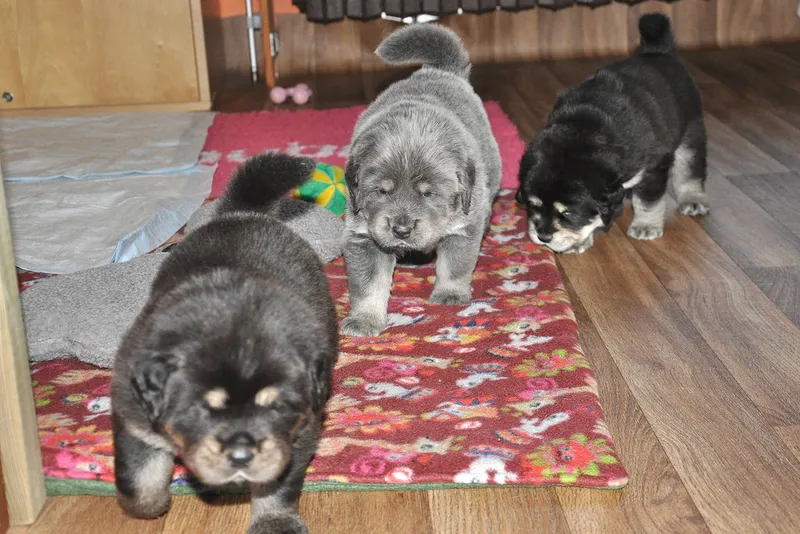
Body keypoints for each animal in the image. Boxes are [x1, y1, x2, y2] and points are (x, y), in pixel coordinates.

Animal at [111, 153, 338, 534]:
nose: (241, 456)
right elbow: (138, 479)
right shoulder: (134, 415)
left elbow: (276, 484)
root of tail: (241, 213)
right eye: (200, 410)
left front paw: (275, 521)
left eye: (275, 407)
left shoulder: (298, 432)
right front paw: (154, 505)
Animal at [341, 24, 501, 337]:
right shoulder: (362, 236)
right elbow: (368, 285)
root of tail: (439, 70)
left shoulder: (464, 226)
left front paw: (450, 294)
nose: (401, 229)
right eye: (381, 191)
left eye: (428, 193)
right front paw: (364, 320)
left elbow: (455, 264)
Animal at [516, 13, 710, 254]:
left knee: (690, 171)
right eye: (533, 205)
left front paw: (646, 226)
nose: (542, 237)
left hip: (691, 132)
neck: (583, 133)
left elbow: (648, 202)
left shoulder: (654, 168)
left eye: (568, 213)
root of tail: (658, 50)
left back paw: (693, 199)